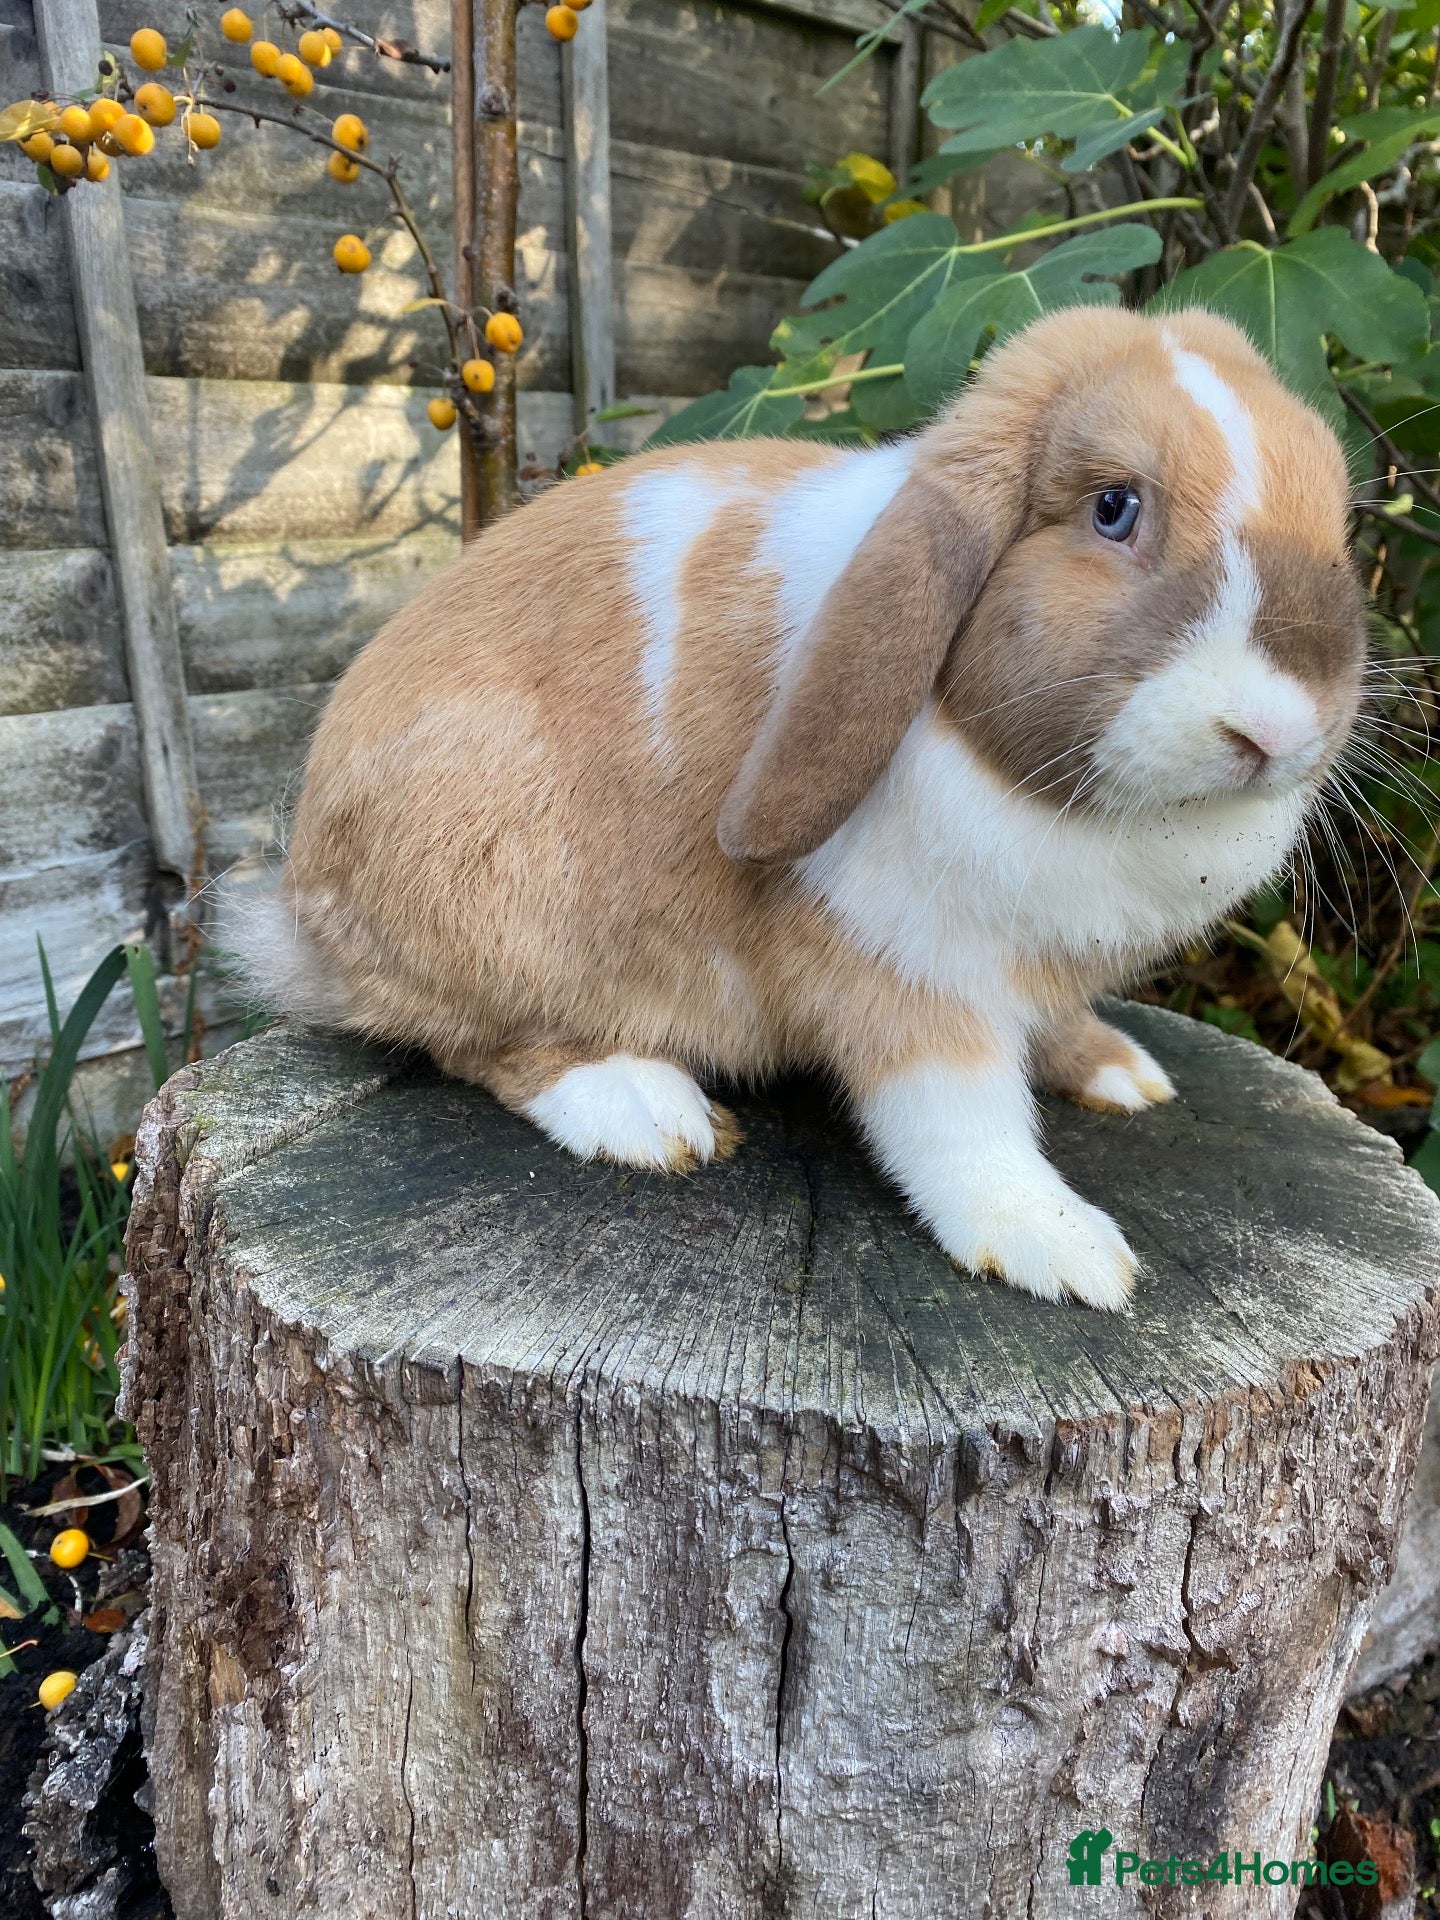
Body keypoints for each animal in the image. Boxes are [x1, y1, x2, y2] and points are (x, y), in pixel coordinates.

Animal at [237, 303, 1365, 1311]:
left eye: (1342, 518)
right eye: (1114, 508)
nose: (1275, 730)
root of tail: (301, 910)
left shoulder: (1031, 965)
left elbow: (1045, 1032)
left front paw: (1115, 1072)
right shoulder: (898, 960)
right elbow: (958, 1116)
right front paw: (1057, 1247)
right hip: (497, 896)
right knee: (478, 1041)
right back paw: (644, 1111)